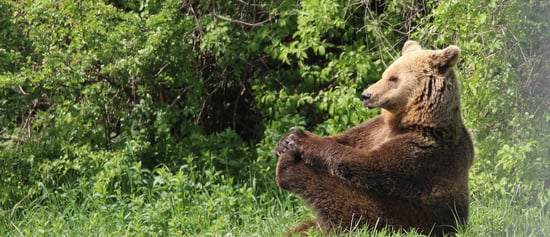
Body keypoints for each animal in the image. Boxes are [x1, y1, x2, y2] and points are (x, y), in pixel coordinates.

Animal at [274, 39, 474, 236]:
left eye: (393, 78)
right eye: (385, 74)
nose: (366, 95)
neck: (412, 119)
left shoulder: (425, 147)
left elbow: (372, 163)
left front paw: (299, 140)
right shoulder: (374, 130)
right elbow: (345, 139)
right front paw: (284, 141)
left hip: (406, 217)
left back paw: (288, 167)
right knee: (304, 226)